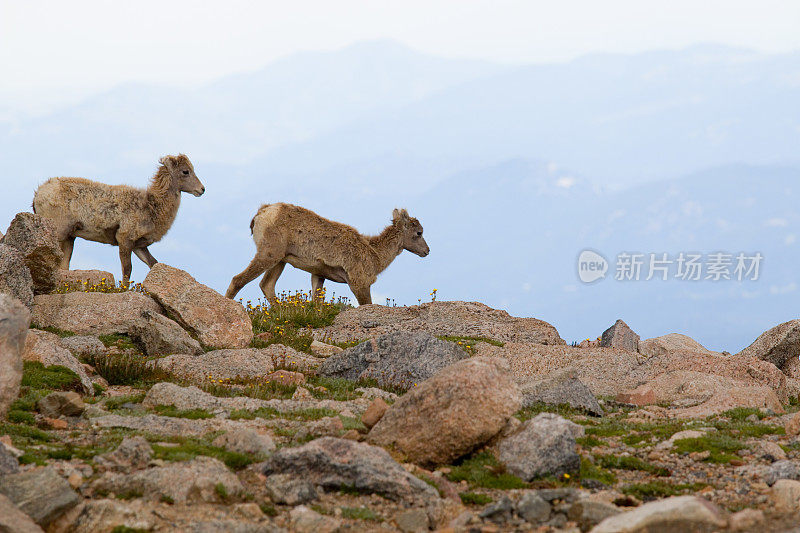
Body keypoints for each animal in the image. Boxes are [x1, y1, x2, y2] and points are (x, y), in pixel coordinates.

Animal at [32, 154, 203, 284]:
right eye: (185, 171)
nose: (202, 189)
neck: (151, 206)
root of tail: (38, 194)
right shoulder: (124, 239)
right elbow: (127, 269)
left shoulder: (139, 246)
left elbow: (152, 263)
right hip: (58, 232)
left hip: (69, 238)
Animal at [225, 203, 432, 306]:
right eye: (419, 232)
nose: (427, 251)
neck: (375, 255)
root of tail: (262, 213)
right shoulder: (359, 282)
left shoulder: (318, 275)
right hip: (269, 255)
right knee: (238, 279)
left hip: (280, 260)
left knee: (267, 285)